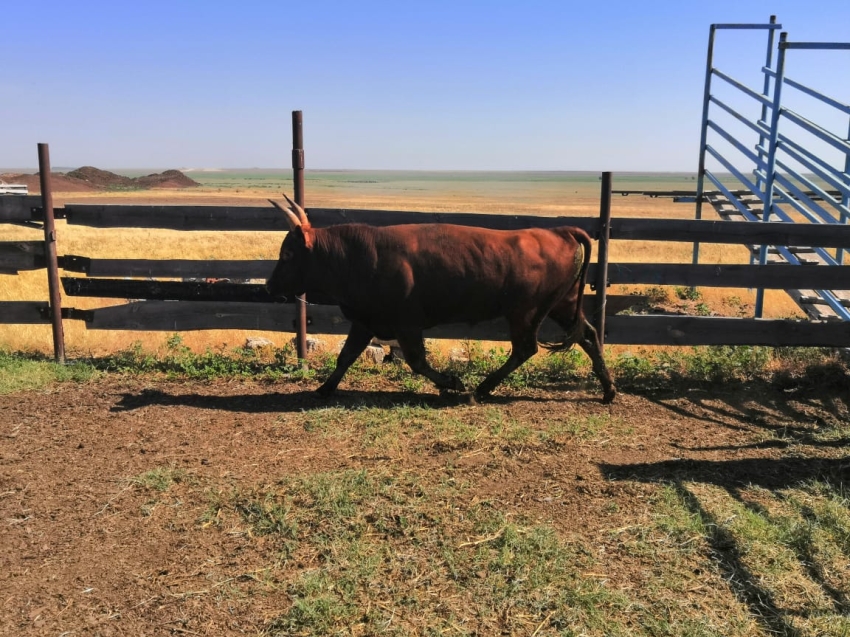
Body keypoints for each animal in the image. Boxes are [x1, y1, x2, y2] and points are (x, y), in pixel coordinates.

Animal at [262, 195, 612, 402]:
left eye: (288, 253)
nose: (268, 285)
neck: (359, 256)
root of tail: (559, 231)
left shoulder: (406, 324)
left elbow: (417, 361)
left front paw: (451, 382)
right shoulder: (365, 320)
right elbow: (346, 356)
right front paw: (325, 387)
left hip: (525, 312)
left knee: (526, 348)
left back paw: (481, 389)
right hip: (563, 305)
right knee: (588, 335)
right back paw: (608, 390)